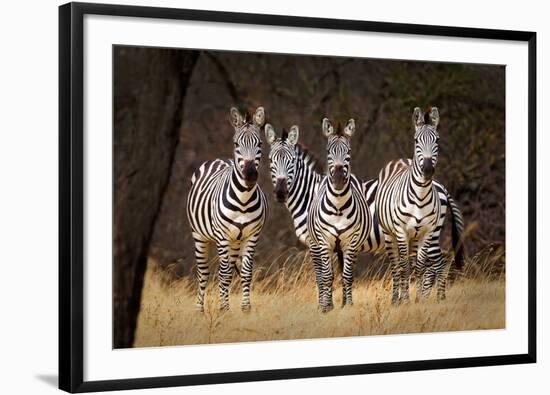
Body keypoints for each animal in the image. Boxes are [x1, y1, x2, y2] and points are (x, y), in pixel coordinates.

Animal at [188, 106, 270, 312]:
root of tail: (219, 159)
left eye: (260, 143)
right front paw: (224, 309)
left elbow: (246, 272)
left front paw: (245, 308)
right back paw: (200, 308)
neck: (243, 201)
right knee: (204, 272)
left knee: (232, 269)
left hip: (235, 241)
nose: (250, 174)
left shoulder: (252, 236)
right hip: (200, 235)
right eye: (236, 143)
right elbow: (223, 273)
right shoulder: (222, 236)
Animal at [306, 117, 370, 312]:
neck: (338, 206)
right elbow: (327, 276)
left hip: (345, 247)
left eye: (348, 151)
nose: (339, 178)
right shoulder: (324, 241)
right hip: (320, 245)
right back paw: (326, 303)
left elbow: (347, 276)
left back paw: (343, 302)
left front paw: (348, 305)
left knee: (344, 272)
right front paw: (327, 307)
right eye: (328, 151)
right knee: (324, 275)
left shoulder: (351, 242)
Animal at [378, 106, 464, 304]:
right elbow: (405, 266)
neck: (420, 196)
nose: (427, 169)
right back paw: (396, 299)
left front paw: (417, 300)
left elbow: (419, 266)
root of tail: (401, 160)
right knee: (396, 266)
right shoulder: (401, 232)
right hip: (390, 234)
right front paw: (406, 300)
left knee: (436, 262)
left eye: (437, 140)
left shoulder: (426, 232)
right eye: (416, 140)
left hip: (425, 235)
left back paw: (438, 296)